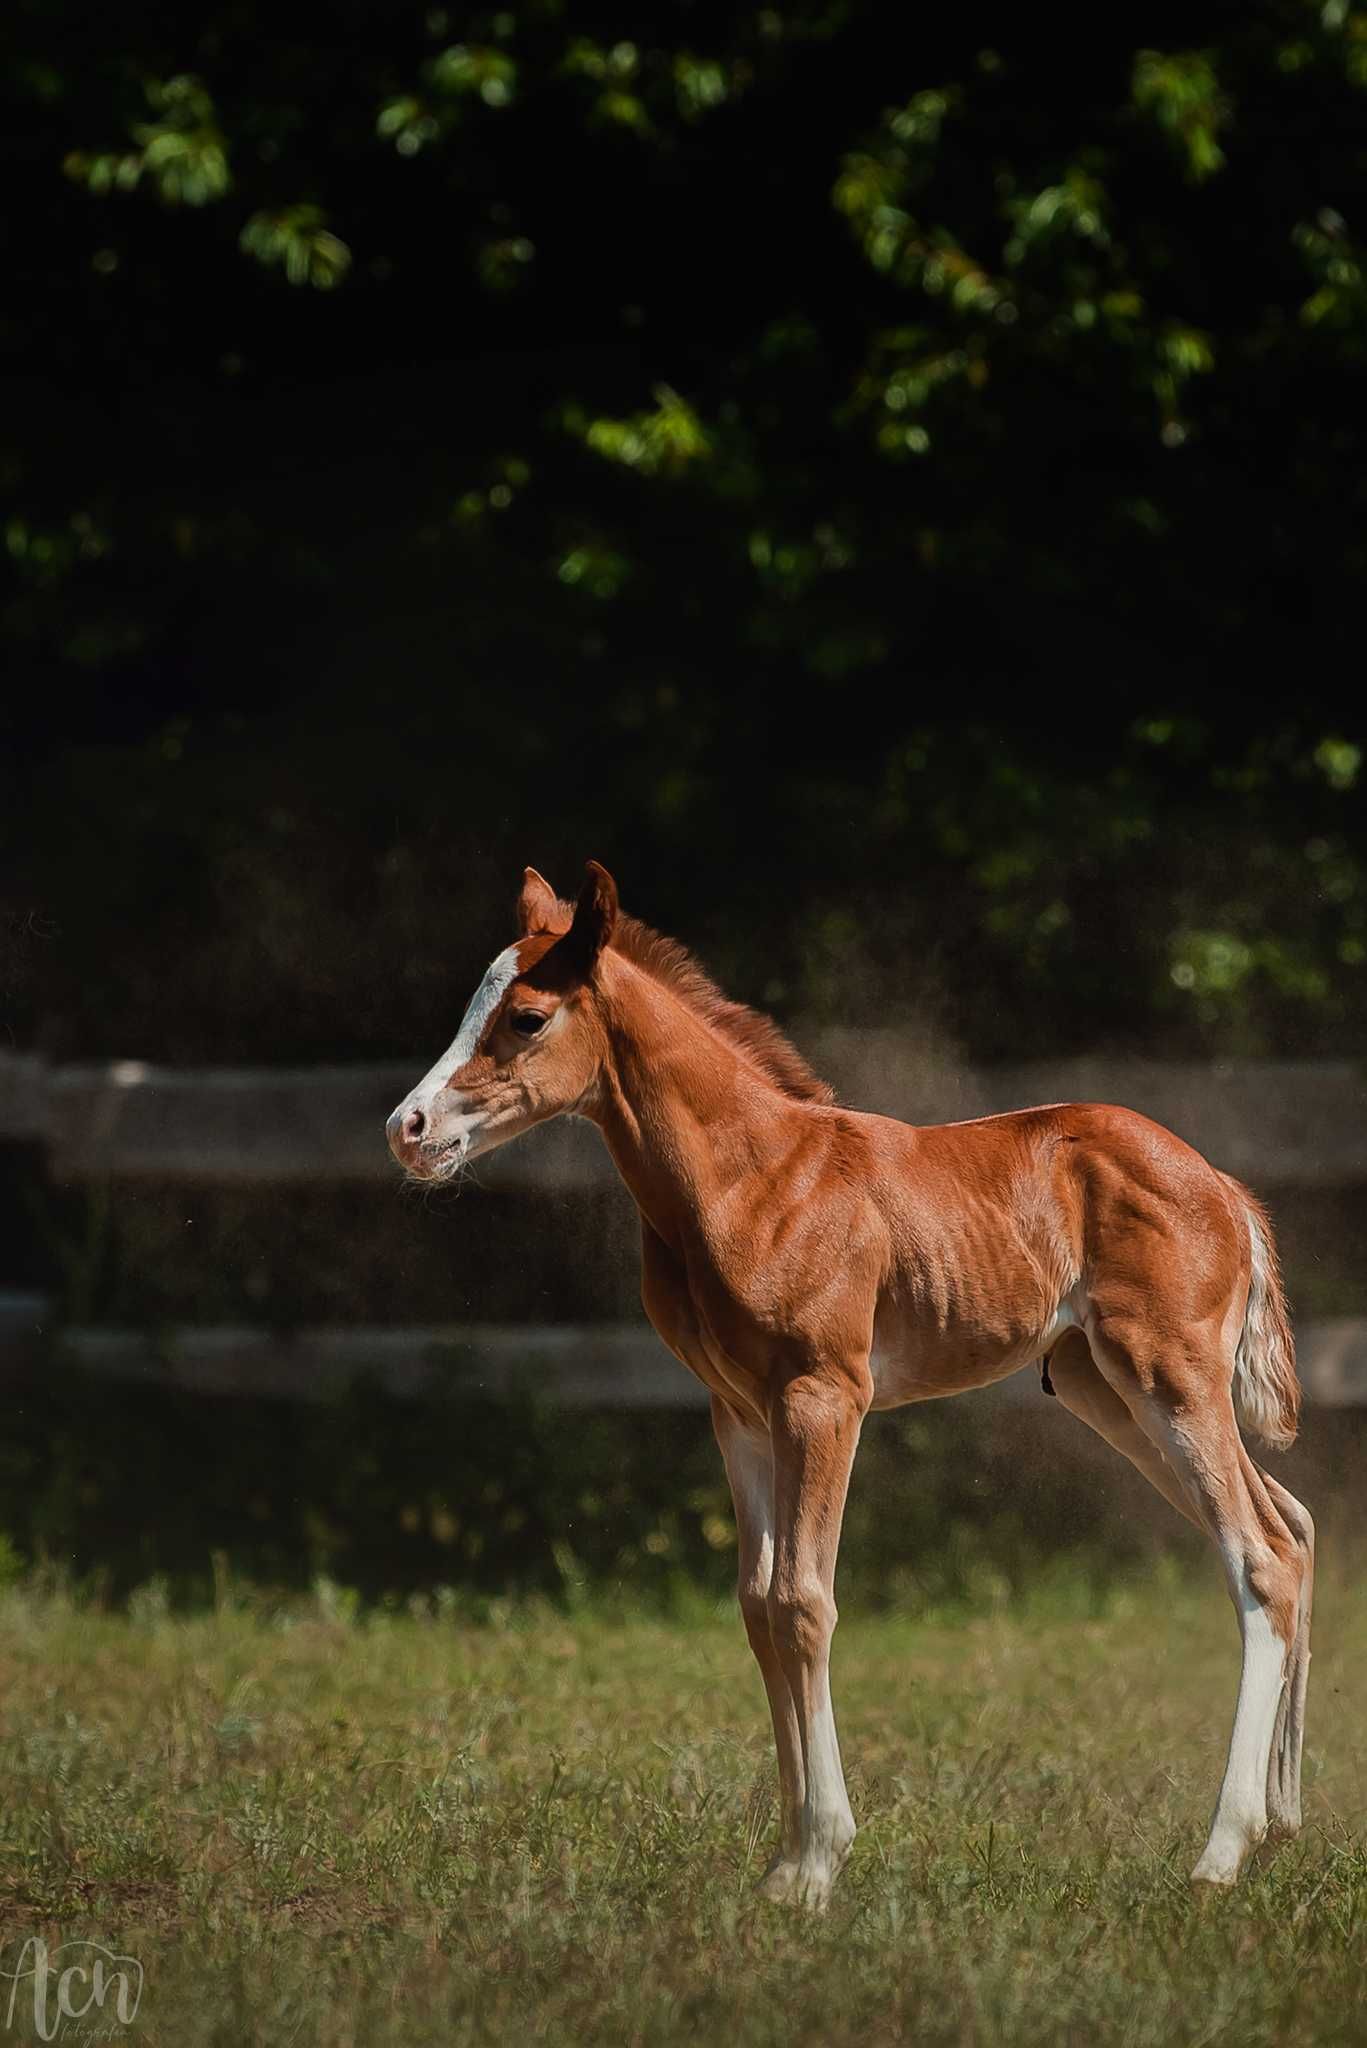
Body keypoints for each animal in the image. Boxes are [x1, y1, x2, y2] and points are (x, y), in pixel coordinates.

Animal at [387, 860, 1311, 1900]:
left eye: (527, 1017)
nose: (407, 1129)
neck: (750, 1178)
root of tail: (1224, 1188)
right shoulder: (738, 1414)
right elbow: (758, 1605)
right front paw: (783, 1861)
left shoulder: (824, 1395)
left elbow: (803, 1600)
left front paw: (818, 1862)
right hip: (1102, 1390)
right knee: (1290, 1525)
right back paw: (1281, 1822)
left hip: (1168, 1378)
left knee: (1259, 1556)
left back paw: (1221, 1853)